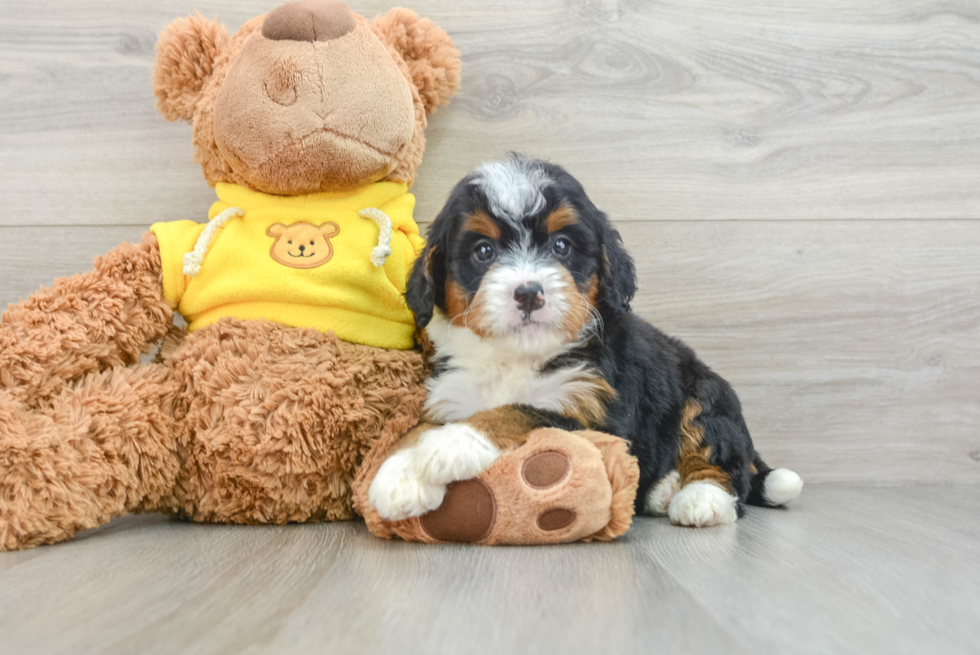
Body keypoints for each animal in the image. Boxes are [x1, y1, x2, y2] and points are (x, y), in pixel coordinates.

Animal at [370, 154, 804, 528]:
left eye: (561, 246)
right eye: (483, 251)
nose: (529, 293)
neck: (517, 356)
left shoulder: (592, 410)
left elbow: (515, 410)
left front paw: (452, 444)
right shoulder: (451, 395)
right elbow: (416, 430)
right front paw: (399, 474)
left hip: (705, 395)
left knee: (722, 462)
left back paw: (700, 499)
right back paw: (662, 490)